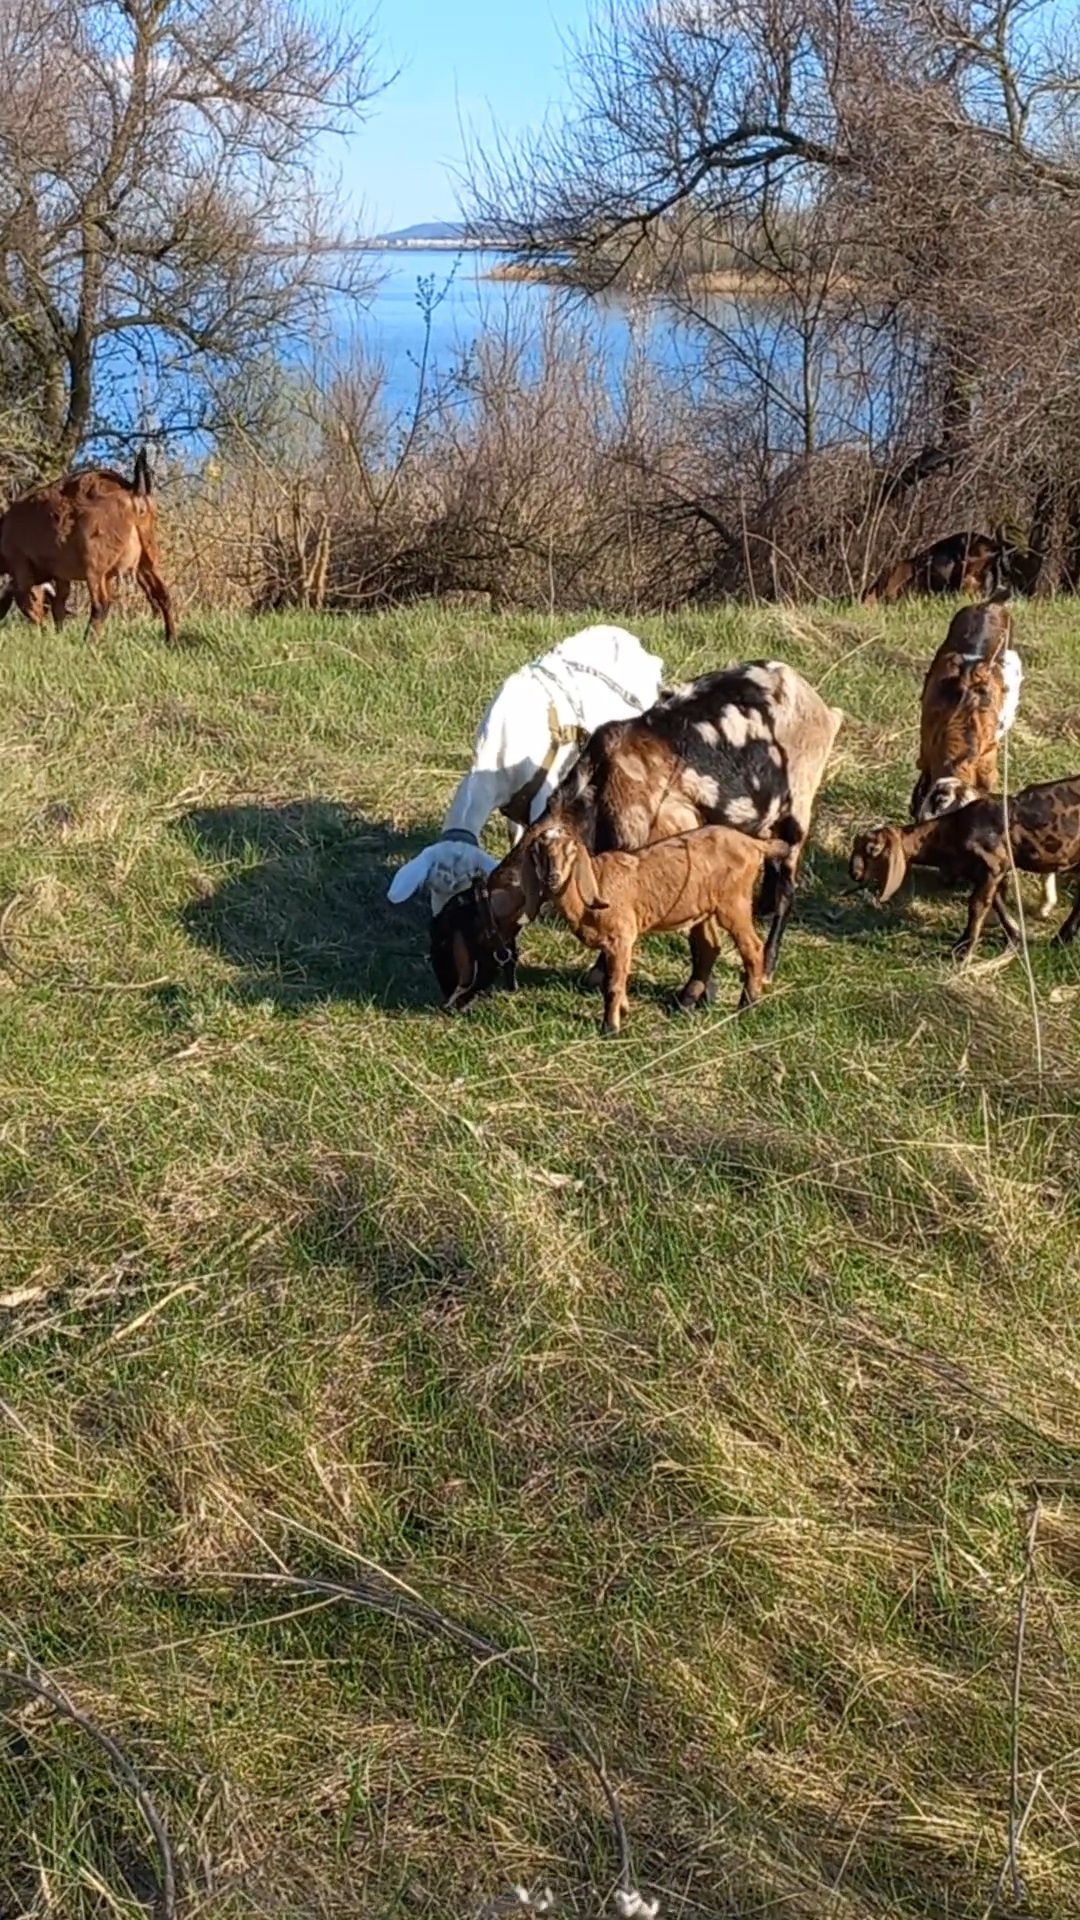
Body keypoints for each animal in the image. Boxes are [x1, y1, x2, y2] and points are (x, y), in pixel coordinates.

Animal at [0, 455, 171, 645]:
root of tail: (134, 492)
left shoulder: (20, 566)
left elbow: (29, 605)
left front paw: (45, 634)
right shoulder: (61, 575)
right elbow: (59, 605)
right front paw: (59, 635)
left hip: (95, 566)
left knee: (101, 604)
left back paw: (88, 641)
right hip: (147, 558)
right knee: (163, 594)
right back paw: (171, 639)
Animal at [428, 664, 841, 1006]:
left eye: (454, 940)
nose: (449, 1000)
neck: (596, 788)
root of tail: (818, 704)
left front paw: (693, 992)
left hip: (799, 805)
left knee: (788, 886)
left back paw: (768, 963)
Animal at [845, 775, 1076, 956]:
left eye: (872, 850)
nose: (853, 874)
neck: (952, 829)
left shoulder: (994, 867)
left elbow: (977, 905)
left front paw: (962, 950)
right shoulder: (983, 872)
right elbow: (996, 902)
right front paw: (1014, 935)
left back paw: (1061, 937)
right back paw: (1061, 939)